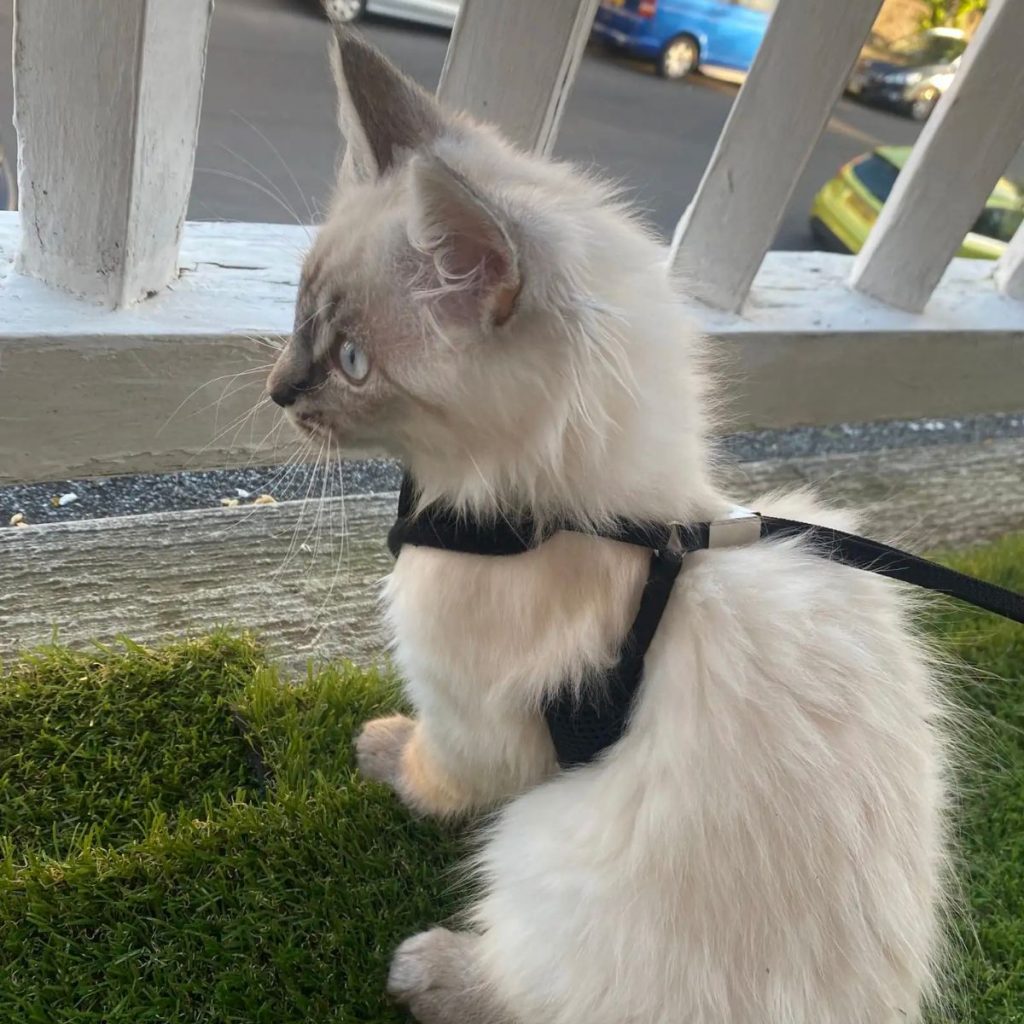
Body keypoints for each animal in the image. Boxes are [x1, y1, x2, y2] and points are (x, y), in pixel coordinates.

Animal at [268, 28, 946, 1019]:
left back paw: (429, 974)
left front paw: (385, 752)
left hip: (538, 846)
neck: (610, 526)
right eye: (297, 317)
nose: (278, 390)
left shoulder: (470, 717)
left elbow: (439, 768)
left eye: (352, 362)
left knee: (531, 989)